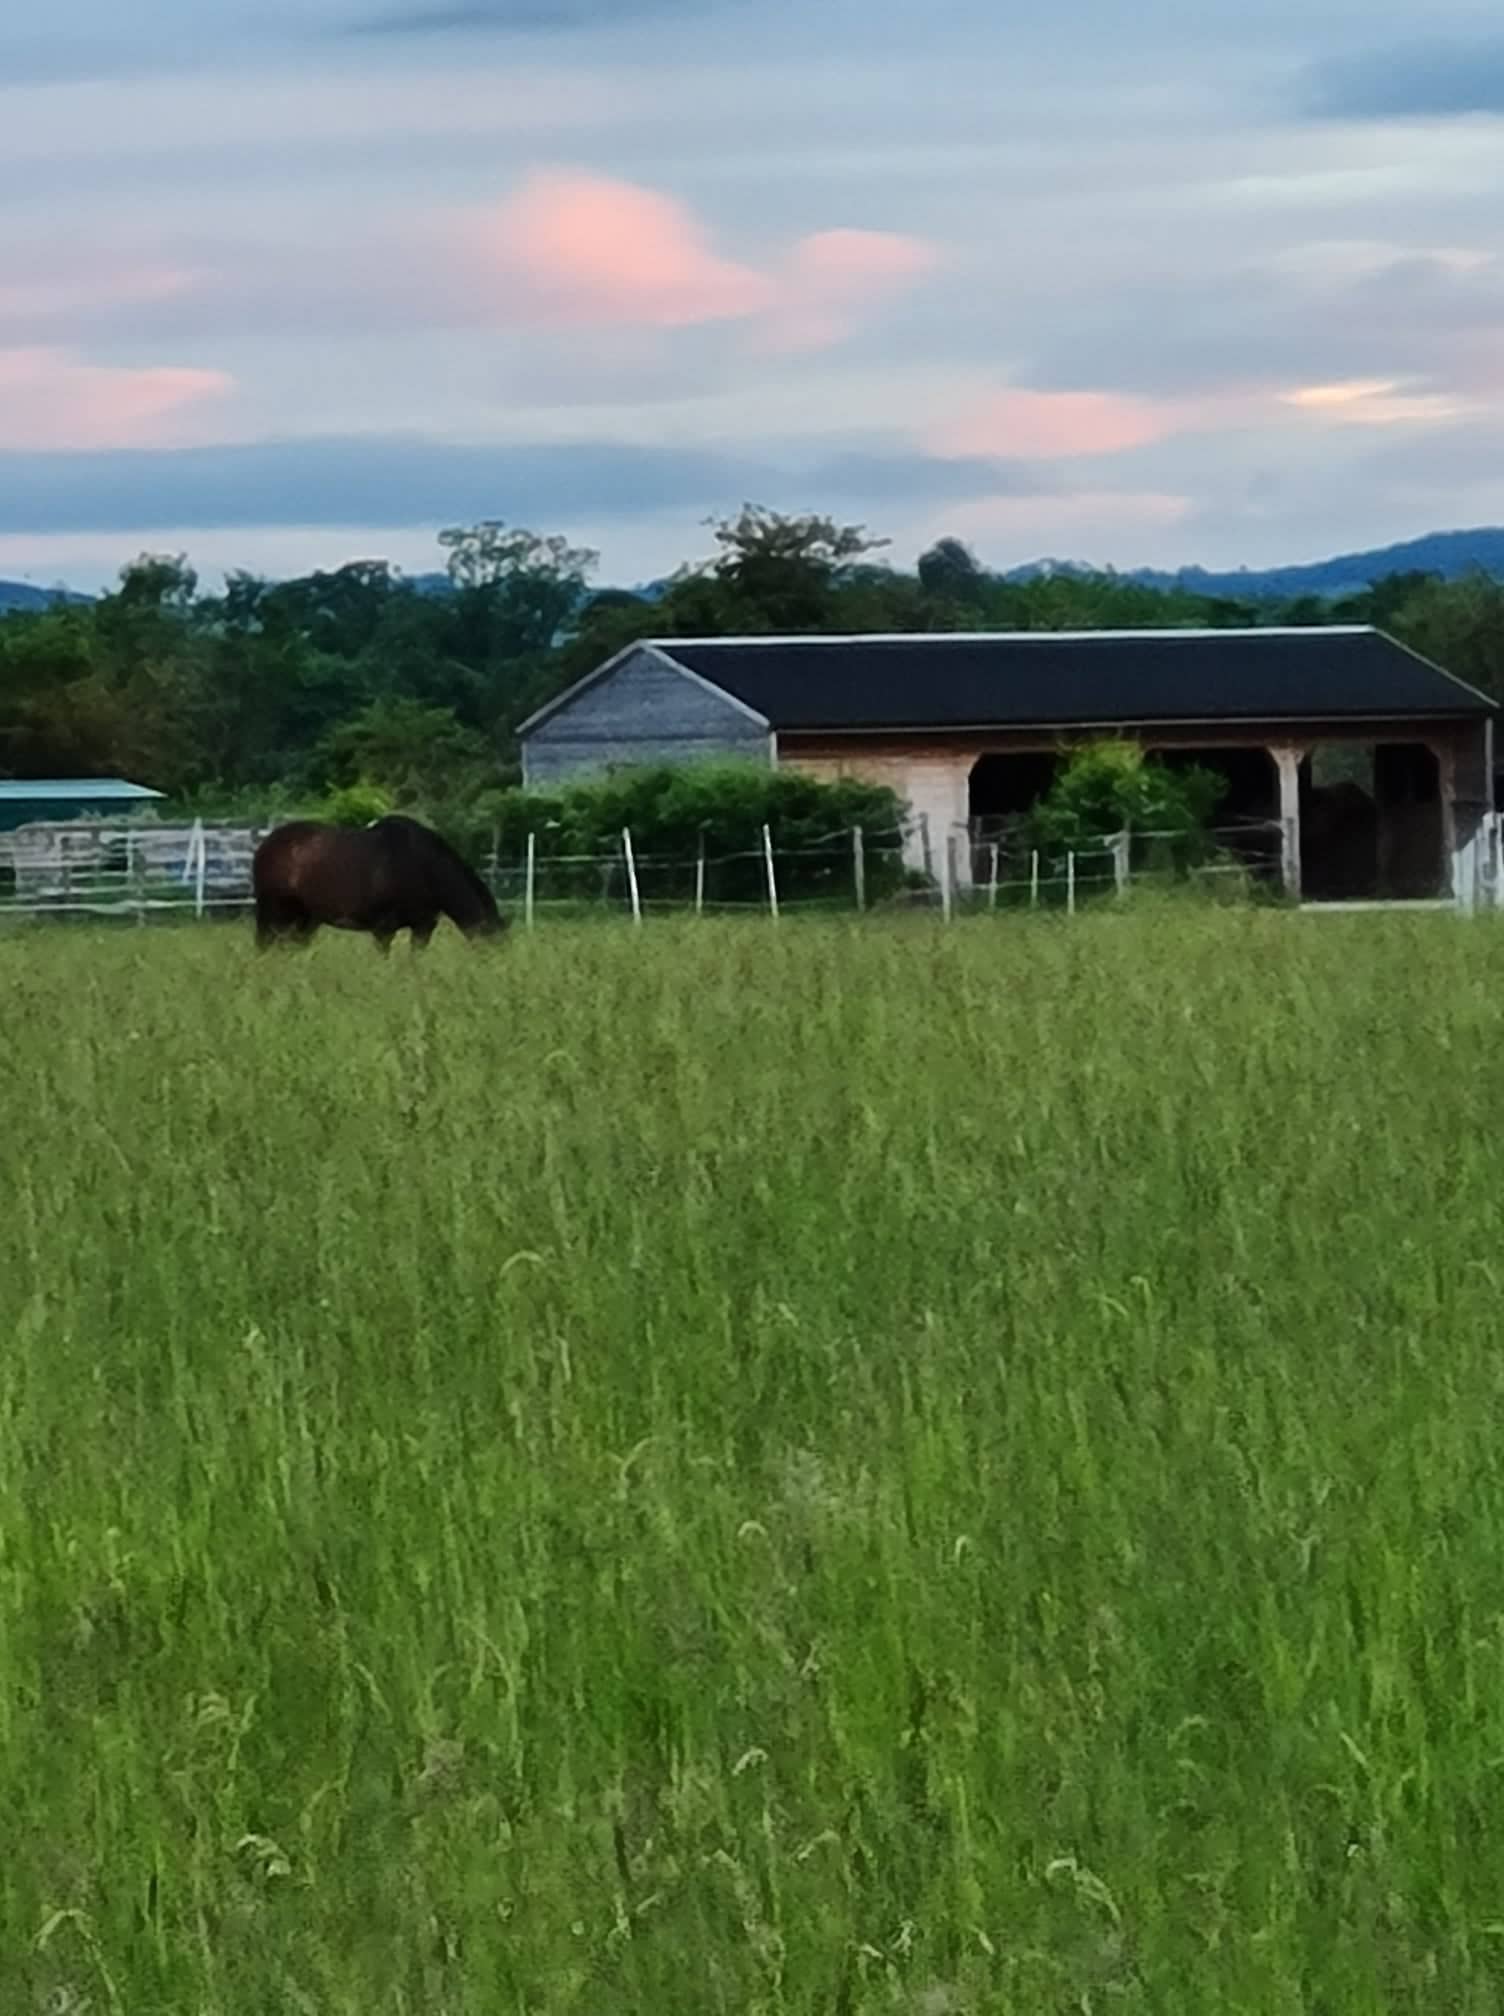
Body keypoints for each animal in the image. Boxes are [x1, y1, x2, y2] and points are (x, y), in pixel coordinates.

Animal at [252, 814, 506, 952]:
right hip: (273, 914)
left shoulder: (423, 928)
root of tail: (264, 845)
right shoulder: (383, 929)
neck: (423, 866)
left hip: (304, 920)